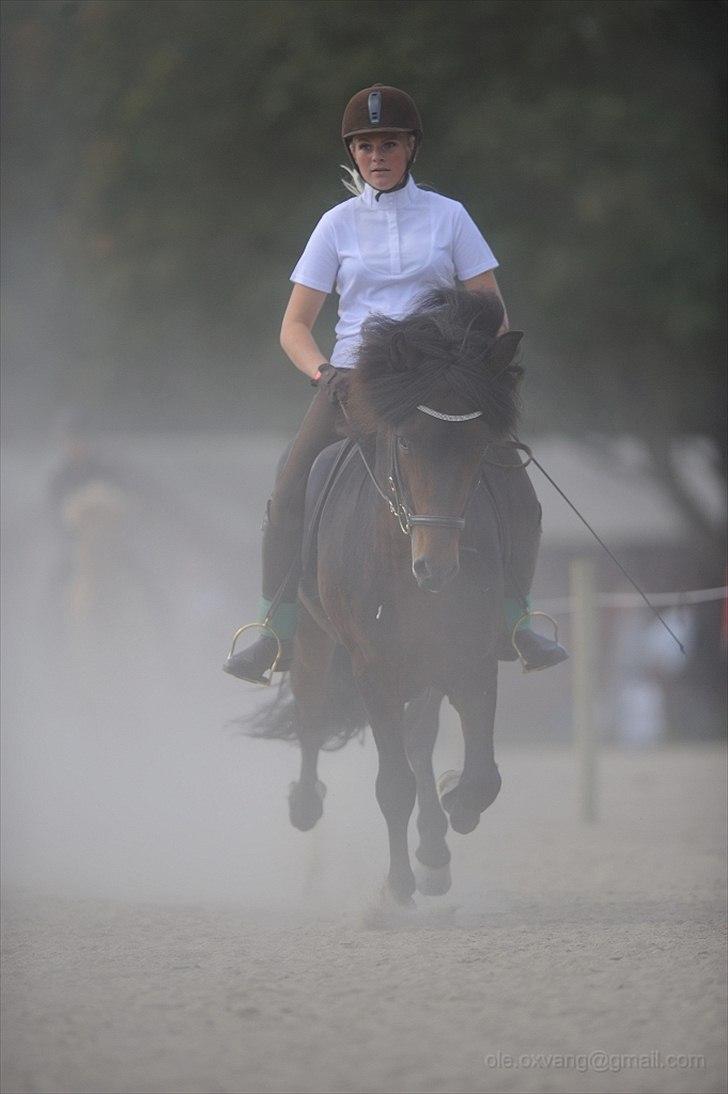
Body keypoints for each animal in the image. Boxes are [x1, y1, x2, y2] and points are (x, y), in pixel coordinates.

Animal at [255, 288, 527, 905]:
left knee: (420, 740)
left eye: (480, 446)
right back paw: (306, 804)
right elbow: (393, 784)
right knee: (311, 710)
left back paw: (435, 849)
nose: (436, 568)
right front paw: (398, 889)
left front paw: (454, 810)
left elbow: (482, 776)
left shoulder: (471, 656)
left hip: (425, 664)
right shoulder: (373, 667)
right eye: (405, 441)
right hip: (315, 639)